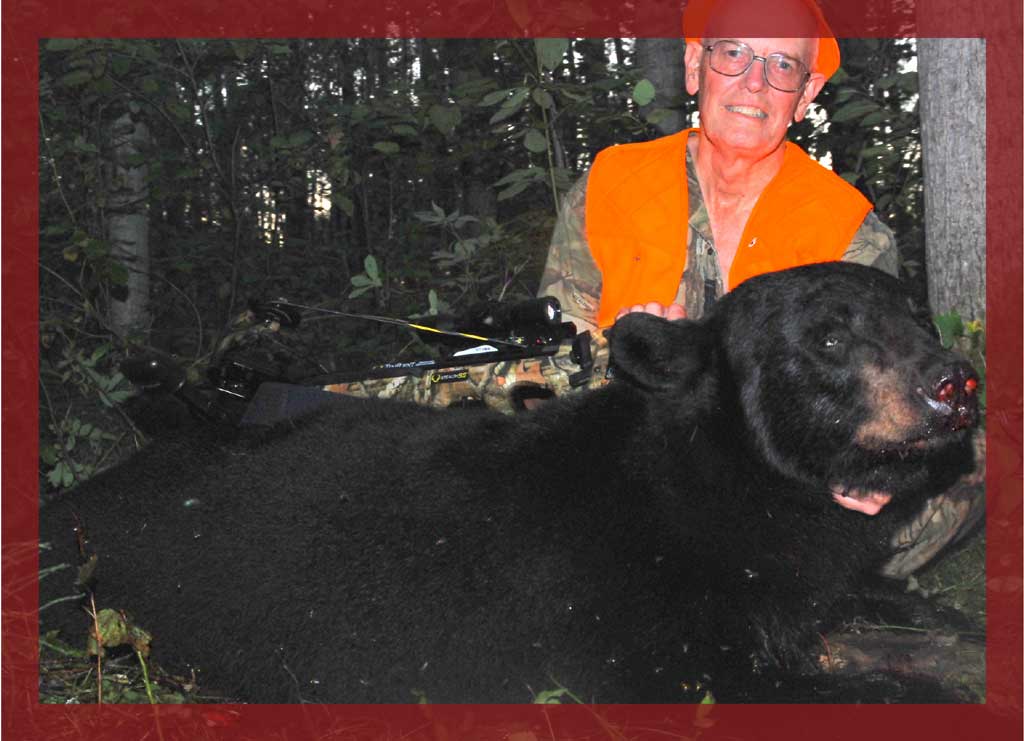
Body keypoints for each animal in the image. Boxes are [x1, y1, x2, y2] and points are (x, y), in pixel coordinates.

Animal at [38, 262, 980, 703]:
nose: (955, 381)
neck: (731, 482)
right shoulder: (630, 623)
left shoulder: (801, 574)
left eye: (917, 315)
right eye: (828, 337)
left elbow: (885, 605)